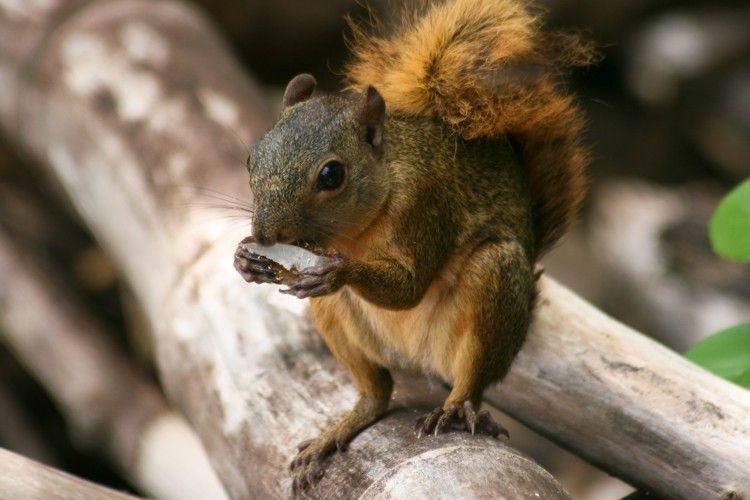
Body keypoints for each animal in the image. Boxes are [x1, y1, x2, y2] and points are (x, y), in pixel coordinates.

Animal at [235, 0, 600, 492]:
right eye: (252, 157)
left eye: (332, 175)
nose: (265, 235)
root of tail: (418, 361)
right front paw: (245, 259)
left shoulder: (425, 204)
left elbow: (408, 287)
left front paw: (338, 271)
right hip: (340, 322)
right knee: (378, 393)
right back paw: (337, 431)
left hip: (494, 281)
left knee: (473, 380)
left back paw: (456, 406)